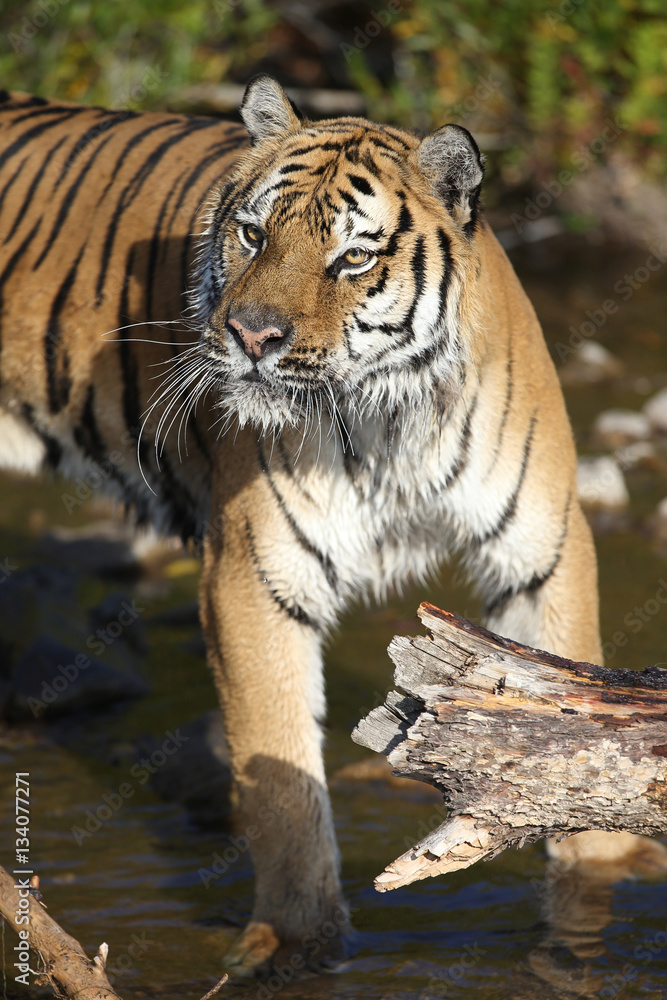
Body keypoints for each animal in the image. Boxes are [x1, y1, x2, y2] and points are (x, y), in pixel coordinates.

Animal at [0, 74, 652, 977]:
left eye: (352, 258)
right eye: (251, 234)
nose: (250, 335)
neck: (388, 417)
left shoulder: (540, 552)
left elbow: (573, 732)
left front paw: (594, 894)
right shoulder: (253, 574)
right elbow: (281, 781)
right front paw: (297, 946)